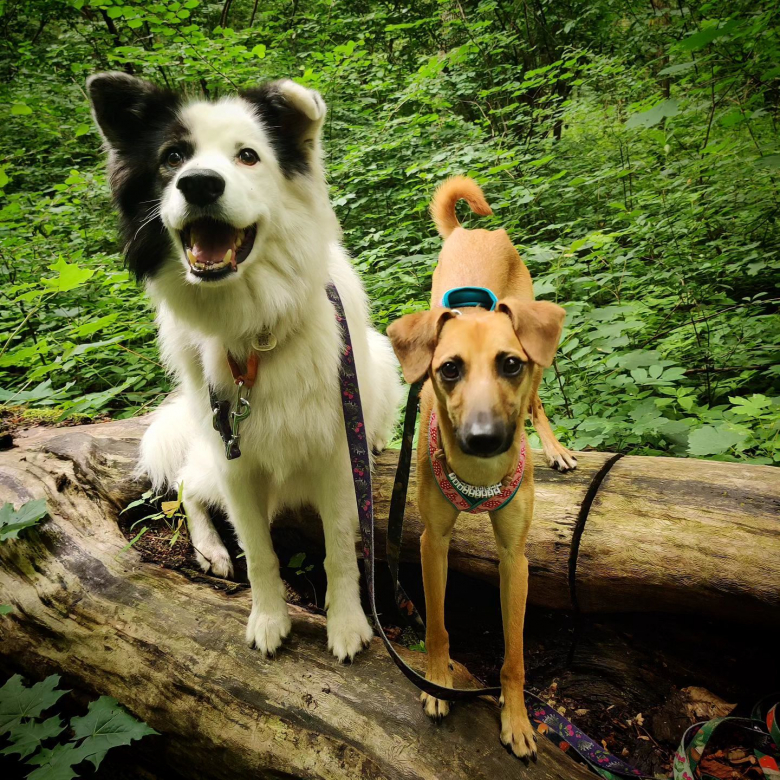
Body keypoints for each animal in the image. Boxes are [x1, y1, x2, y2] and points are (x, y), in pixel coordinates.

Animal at [88, 73, 403, 662]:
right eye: (173, 157)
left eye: (248, 156)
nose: (198, 185)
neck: (253, 331)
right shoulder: (234, 460)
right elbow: (259, 553)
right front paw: (268, 619)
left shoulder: (335, 458)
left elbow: (339, 552)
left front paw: (348, 624)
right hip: (210, 459)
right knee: (187, 484)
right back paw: (210, 549)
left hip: (383, 355)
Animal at [386, 176, 571, 759]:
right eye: (448, 370)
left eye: (508, 363)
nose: (484, 438)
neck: (479, 477)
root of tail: (475, 231)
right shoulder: (432, 543)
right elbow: (439, 626)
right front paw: (438, 682)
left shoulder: (516, 558)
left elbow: (514, 655)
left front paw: (516, 718)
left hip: (538, 352)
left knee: (538, 403)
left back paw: (555, 448)